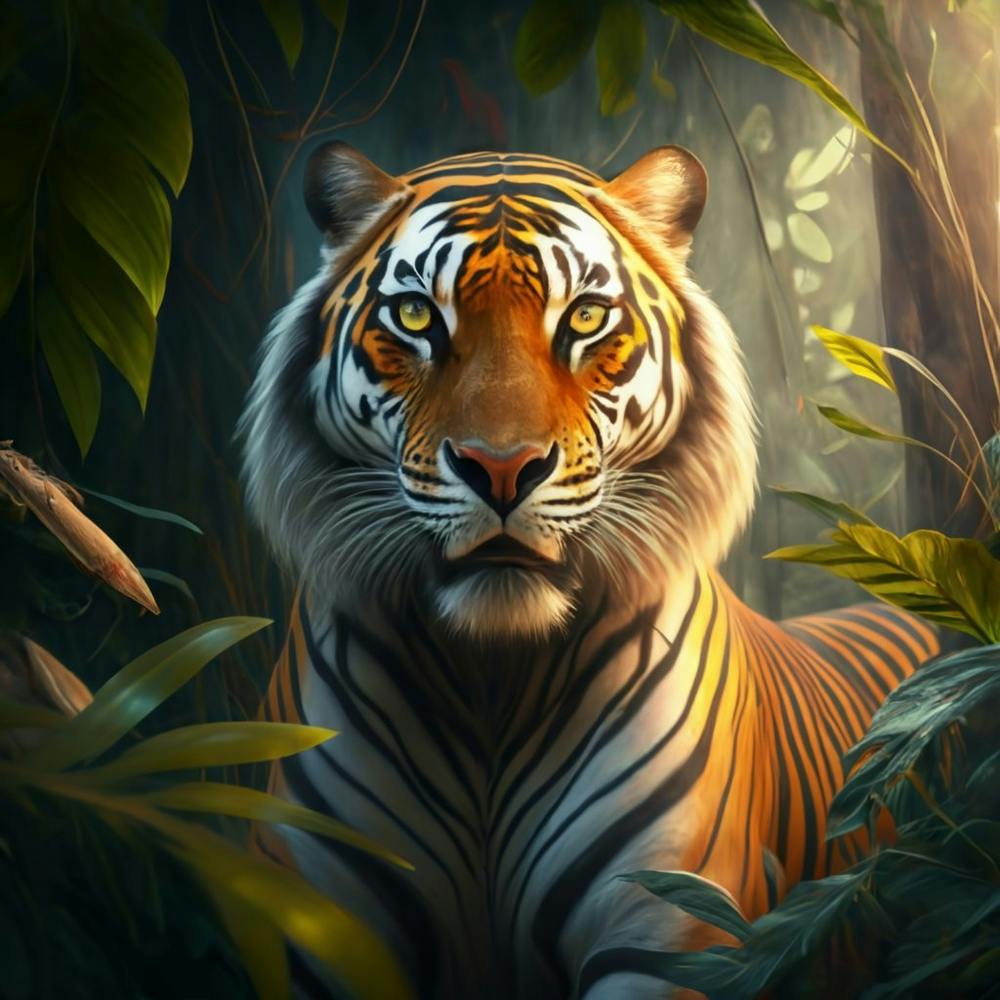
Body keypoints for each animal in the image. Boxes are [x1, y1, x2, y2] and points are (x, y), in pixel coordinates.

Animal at [239, 144, 939, 999]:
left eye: (583, 318)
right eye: (416, 318)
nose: (501, 469)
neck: (491, 678)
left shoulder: (663, 928)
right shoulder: (319, 928)